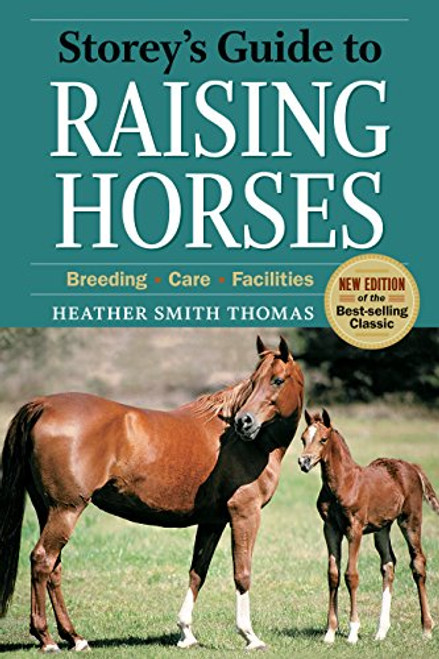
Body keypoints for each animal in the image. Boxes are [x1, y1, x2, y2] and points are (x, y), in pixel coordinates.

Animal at [0, 336, 304, 653]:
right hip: (66, 509)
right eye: (254, 381)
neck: (246, 443)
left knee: (54, 568)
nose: (244, 422)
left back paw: (75, 637)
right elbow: (242, 574)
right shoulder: (245, 514)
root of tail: (44, 404)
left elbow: (198, 571)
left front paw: (186, 633)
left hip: (49, 510)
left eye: (277, 380)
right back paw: (46, 639)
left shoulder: (213, 521)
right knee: (42, 560)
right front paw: (250, 636)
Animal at [299, 409, 439, 645]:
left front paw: (353, 631)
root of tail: (412, 466)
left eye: (323, 439)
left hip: (409, 520)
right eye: (302, 438)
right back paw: (381, 631)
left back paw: (427, 628)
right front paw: (330, 632)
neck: (344, 482)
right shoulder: (330, 529)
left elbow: (351, 575)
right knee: (388, 564)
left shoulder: (354, 530)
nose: (304, 462)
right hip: (382, 528)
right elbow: (333, 574)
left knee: (418, 562)